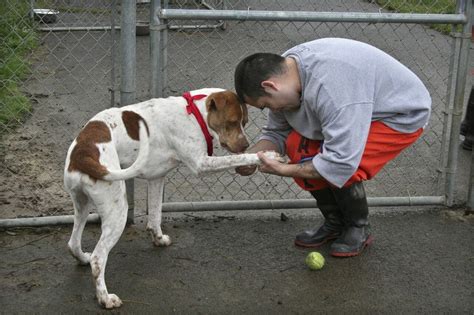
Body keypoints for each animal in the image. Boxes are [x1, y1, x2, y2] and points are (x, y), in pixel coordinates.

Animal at [63, 88, 278, 308]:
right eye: (232, 122)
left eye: (245, 122)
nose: (245, 144)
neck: (194, 113)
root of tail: (83, 153)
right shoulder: (201, 164)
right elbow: (236, 158)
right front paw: (265, 156)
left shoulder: (156, 178)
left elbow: (155, 216)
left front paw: (158, 238)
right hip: (117, 211)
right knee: (99, 258)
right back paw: (105, 298)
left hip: (82, 206)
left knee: (73, 243)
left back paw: (83, 258)